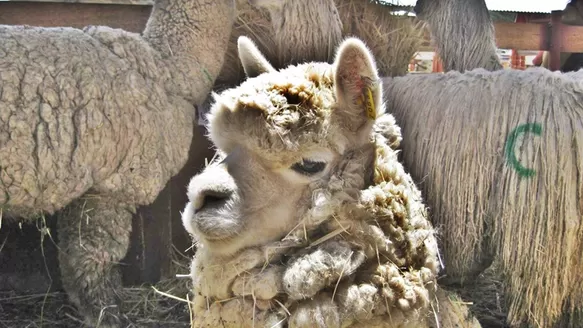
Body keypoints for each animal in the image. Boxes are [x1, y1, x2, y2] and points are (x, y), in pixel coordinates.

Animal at [1, 1, 237, 326]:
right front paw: (106, 313)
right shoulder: (112, 184)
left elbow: (72, 255)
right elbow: (94, 255)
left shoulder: (88, 183)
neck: (165, 68)